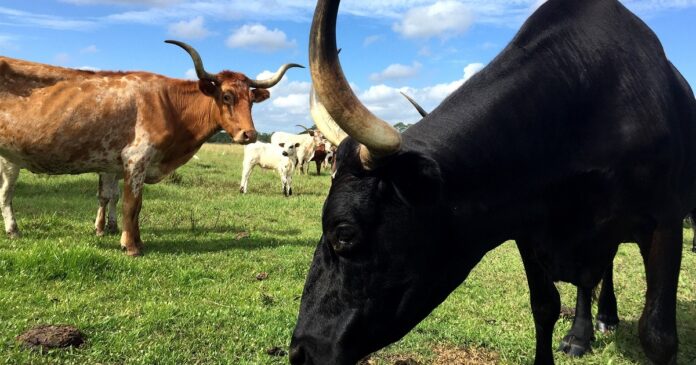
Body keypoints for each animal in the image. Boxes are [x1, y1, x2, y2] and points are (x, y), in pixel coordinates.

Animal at [0, 39, 304, 255]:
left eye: (251, 101)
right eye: (227, 96)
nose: (248, 134)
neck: (168, 103)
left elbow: (130, 204)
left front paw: (135, 240)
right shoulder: (135, 160)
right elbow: (131, 204)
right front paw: (130, 246)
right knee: (6, 194)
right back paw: (14, 230)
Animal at [288, 0, 696, 364]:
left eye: (344, 233)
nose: (300, 352)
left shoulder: (665, 222)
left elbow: (658, 335)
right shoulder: (527, 230)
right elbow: (545, 306)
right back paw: (583, 332)